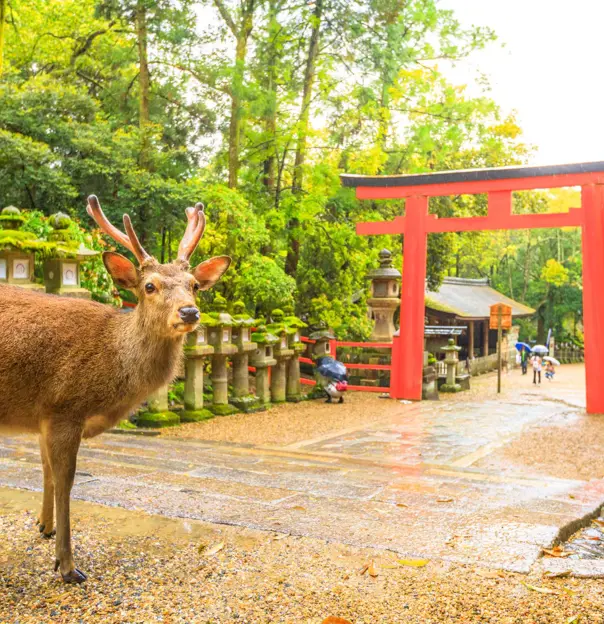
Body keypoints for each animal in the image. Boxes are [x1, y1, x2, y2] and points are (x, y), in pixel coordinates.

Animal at [0, 194, 230, 580]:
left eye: (194, 285)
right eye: (149, 286)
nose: (189, 312)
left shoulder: (44, 413)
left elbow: (45, 469)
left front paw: (44, 527)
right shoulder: (64, 406)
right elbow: (66, 481)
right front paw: (67, 566)